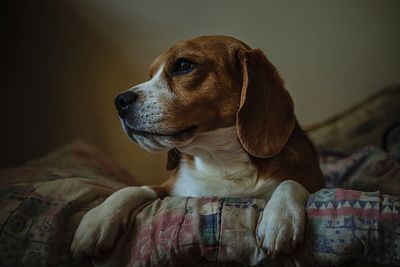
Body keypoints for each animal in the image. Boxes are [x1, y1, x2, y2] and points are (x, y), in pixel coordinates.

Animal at [70, 35, 324, 262]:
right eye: (150, 75)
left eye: (183, 65)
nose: (119, 101)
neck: (220, 160)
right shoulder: (170, 188)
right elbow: (133, 189)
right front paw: (97, 219)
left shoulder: (315, 180)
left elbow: (291, 183)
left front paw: (281, 216)